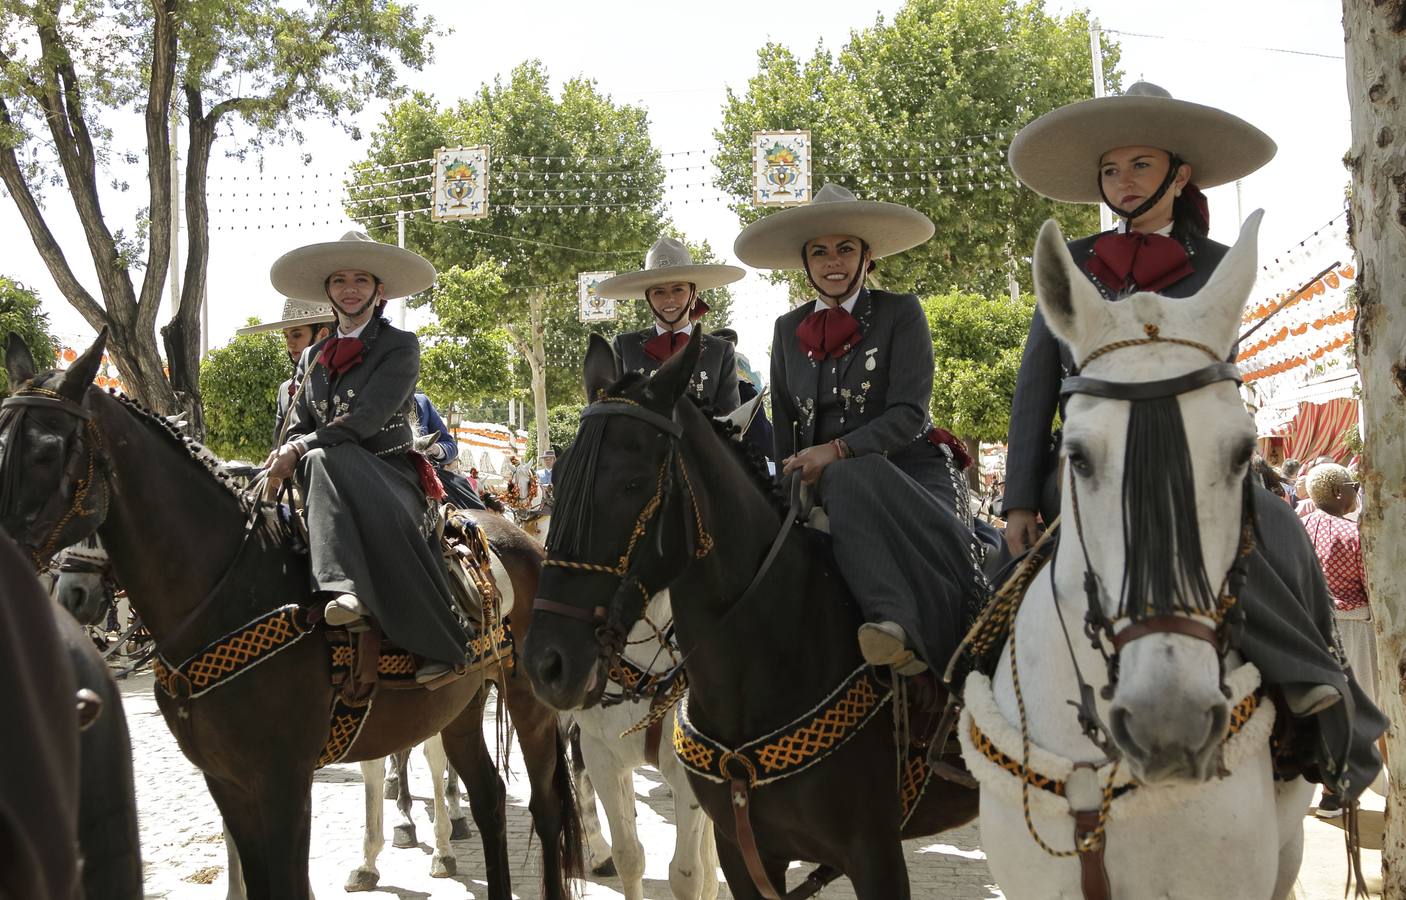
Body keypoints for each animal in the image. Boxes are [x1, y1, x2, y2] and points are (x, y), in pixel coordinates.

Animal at [0, 334, 582, 894]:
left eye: (48, 452)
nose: (69, 593)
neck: (227, 590)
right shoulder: (227, 781)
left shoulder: (282, 781)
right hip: (458, 705)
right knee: (488, 796)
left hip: (528, 700)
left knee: (545, 806)